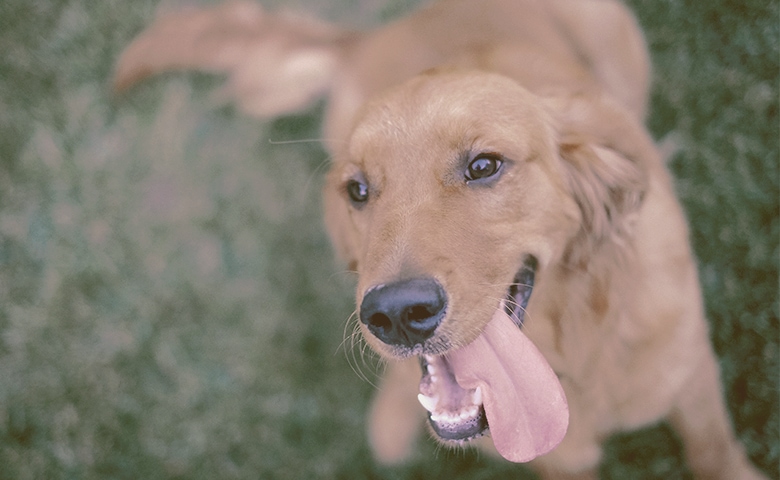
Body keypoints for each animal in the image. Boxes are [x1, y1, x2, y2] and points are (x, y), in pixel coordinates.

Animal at [116, 0, 768, 476]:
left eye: (484, 165)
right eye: (358, 189)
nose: (397, 315)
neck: (572, 349)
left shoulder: (692, 375)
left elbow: (713, 449)